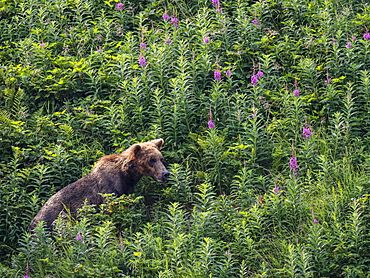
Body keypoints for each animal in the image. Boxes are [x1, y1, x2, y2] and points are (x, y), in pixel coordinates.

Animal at [30, 139, 169, 232]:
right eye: (151, 160)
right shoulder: (109, 191)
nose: (165, 174)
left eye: (161, 158)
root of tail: (32, 223)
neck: (127, 175)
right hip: (57, 218)